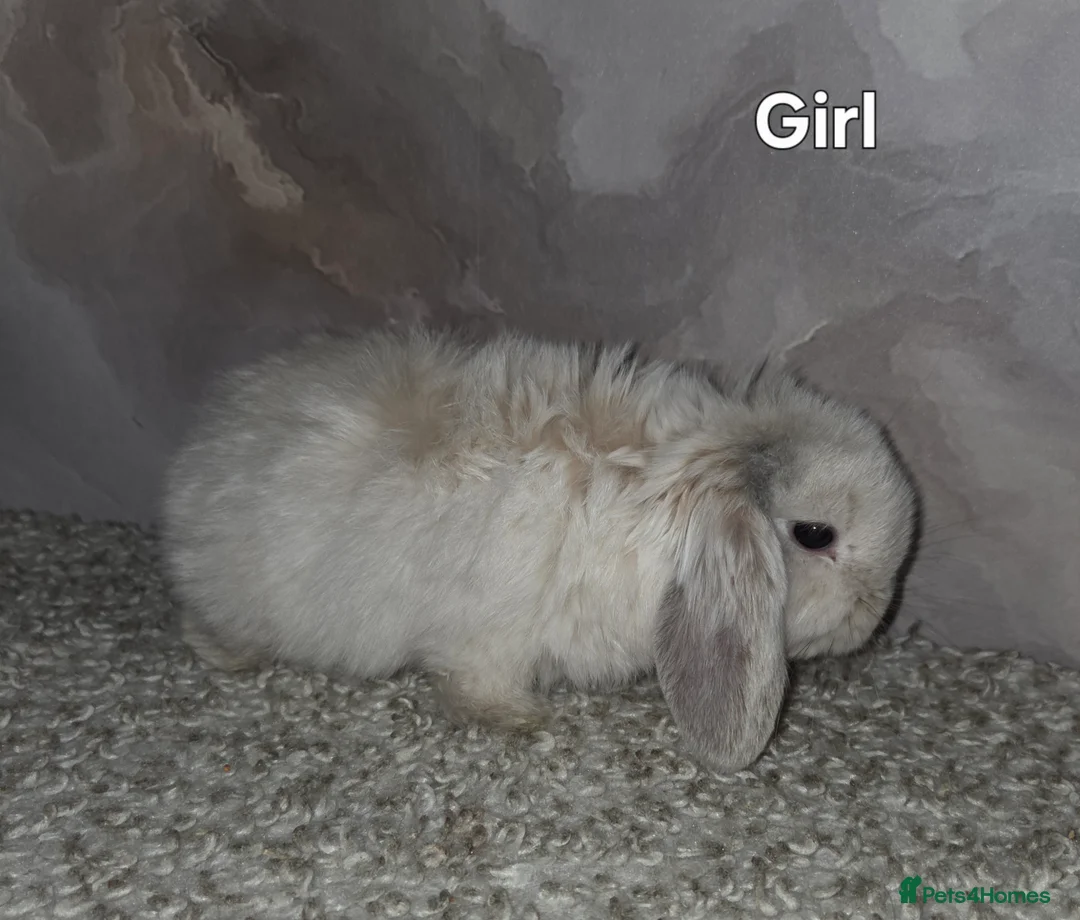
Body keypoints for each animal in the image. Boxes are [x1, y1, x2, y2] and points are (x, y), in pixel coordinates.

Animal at [161, 325, 918, 772]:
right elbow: (474, 682)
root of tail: (193, 463)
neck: (679, 482)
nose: (877, 611)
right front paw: (521, 721)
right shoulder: (483, 635)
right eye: (815, 536)